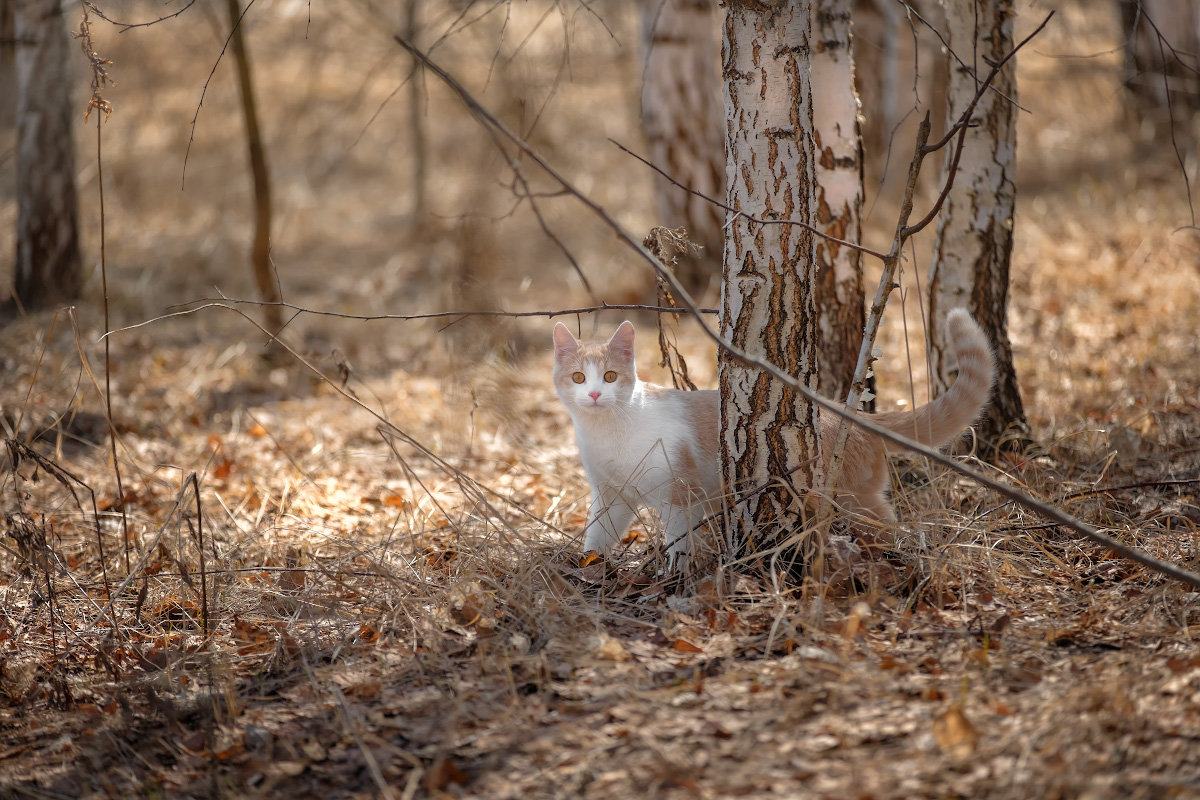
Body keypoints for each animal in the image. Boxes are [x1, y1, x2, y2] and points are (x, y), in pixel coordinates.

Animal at [552, 309, 993, 573]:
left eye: (610, 376)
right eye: (579, 378)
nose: (595, 394)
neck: (610, 431)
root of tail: (844, 411)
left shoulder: (682, 494)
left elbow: (679, 538)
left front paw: (675, 573)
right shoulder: (611, 494)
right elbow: (599, 532)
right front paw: (587, 565)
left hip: (846, 498)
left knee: (886, 525)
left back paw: (901, 557)